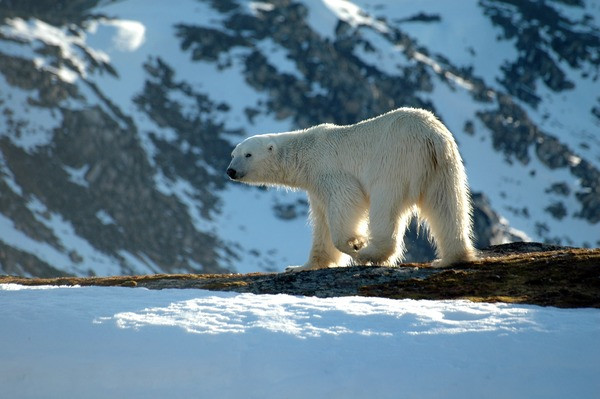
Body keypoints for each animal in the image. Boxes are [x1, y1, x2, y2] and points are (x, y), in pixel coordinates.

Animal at [227, 108, 476, 274]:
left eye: (248, 154)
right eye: (233, 153)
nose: (231, 171)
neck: (306, 154)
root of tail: (431, 137)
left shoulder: (331, 172)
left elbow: (346, 202)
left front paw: (355, 242)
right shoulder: (316, 186)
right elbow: (322, 224)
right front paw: (299, 266)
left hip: (395, 160)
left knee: (385, 204)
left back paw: (370, 252)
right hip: (444, 167)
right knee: (447, 206)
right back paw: (450, 258)